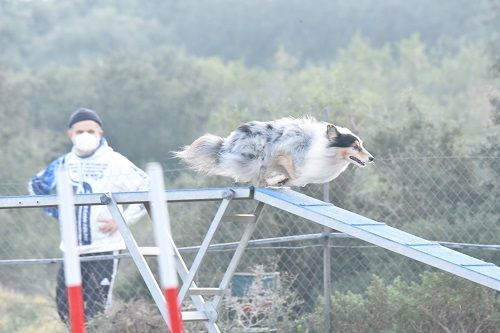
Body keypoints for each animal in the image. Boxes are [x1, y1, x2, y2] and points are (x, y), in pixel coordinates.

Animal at [174, 115, 374, 185]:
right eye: (355, 146)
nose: (372, 158)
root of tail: (229, 142)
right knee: (256, 174)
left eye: (362, 145)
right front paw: (282, 180)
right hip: (256, 157)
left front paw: (282, 180)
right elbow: (294, 174)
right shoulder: (286, 153)